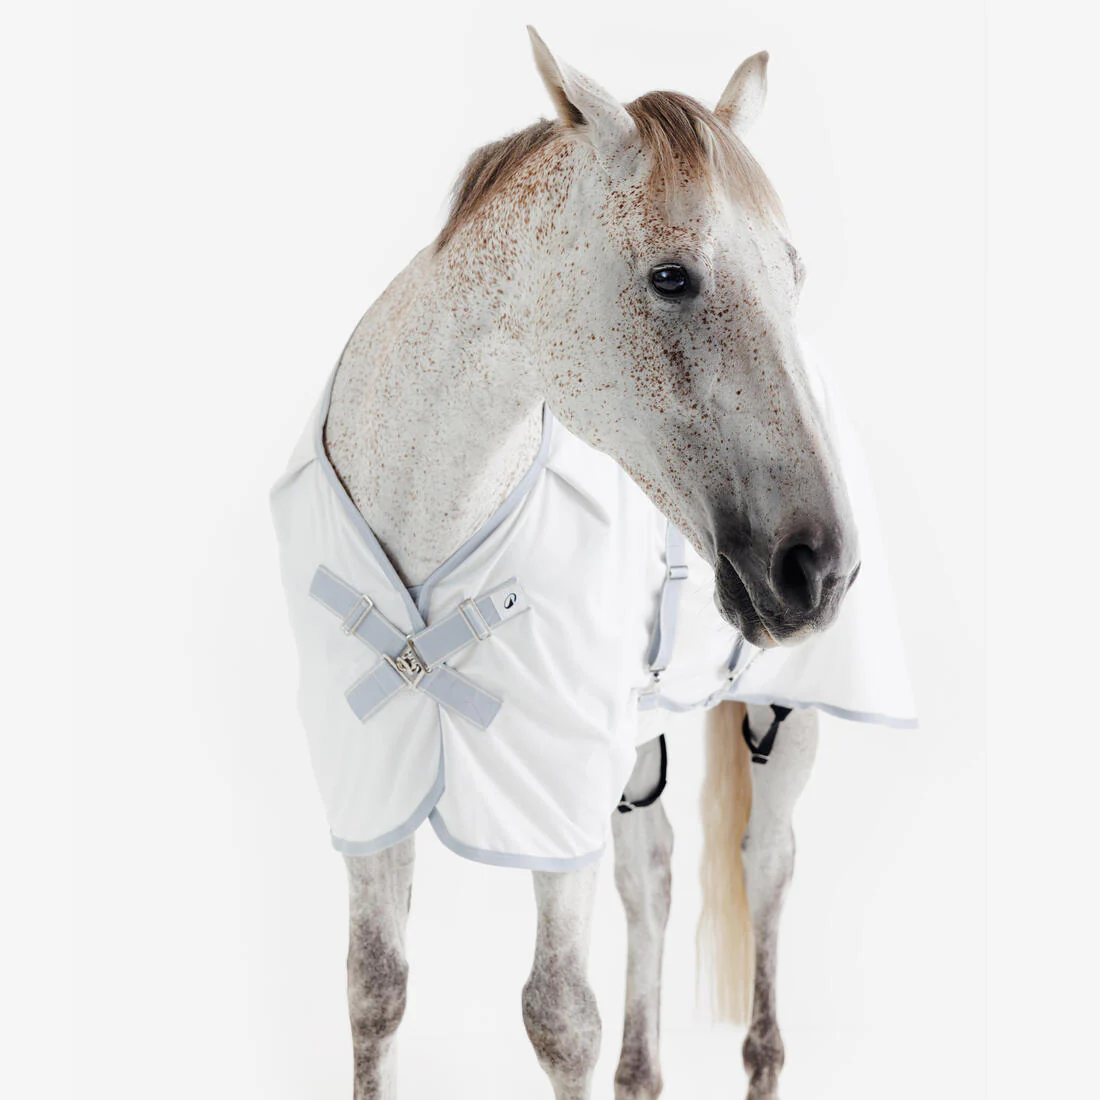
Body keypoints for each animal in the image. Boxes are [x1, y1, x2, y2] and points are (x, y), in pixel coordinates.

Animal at [310, 28, 859, 1100]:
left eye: (795, 274)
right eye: (671, 277)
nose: (818, 567)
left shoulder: (552, 780)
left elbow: (560, 1017)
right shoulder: (370, 779)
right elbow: (374, 988)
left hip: (786, 720)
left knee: (767, 868)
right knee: (653, 878)